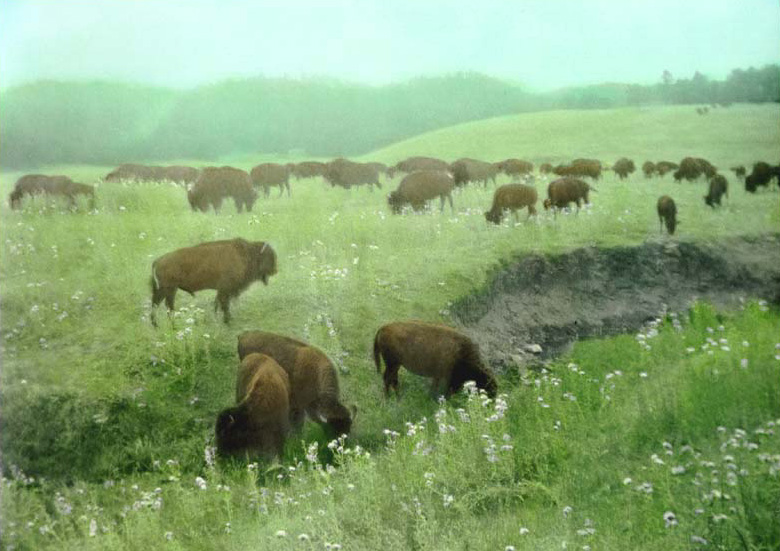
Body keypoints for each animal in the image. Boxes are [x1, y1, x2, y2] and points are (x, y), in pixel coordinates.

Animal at [150, 238, 278, 326]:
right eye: (269, 257)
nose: (275, 271)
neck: (246, 254)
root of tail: (158, 261)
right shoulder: (225, 289)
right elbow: (224, 305)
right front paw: (227, 321)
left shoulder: (222, 290)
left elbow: (219, 304)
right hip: (169, 289)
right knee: (164, 305)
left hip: (167, 290)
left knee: (160, 304)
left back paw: (158, 324)